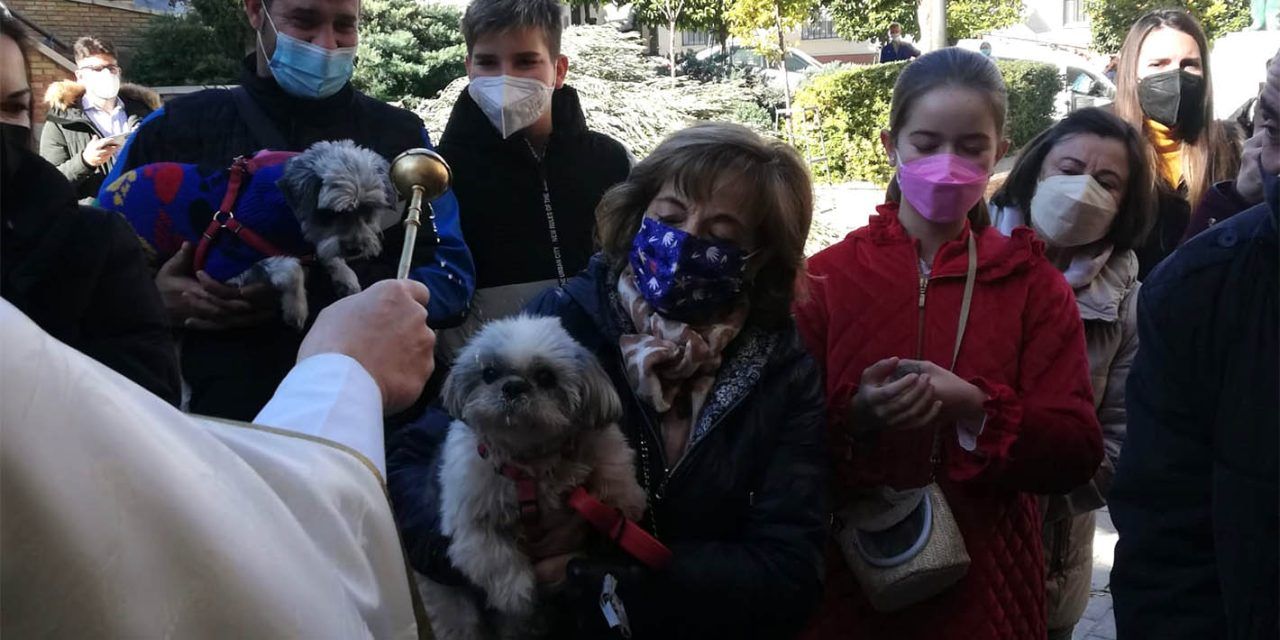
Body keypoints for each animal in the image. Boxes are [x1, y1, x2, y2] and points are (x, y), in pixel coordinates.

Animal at [419, 314, 650, 640]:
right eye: (489, 373)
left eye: (545, 377)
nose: (513, 387)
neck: (530, 464)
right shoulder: (469, 523)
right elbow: (495, 555)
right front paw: (516, 593)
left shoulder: (596, 438)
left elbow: (611, 456)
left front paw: (625, 501)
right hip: (454, 607)